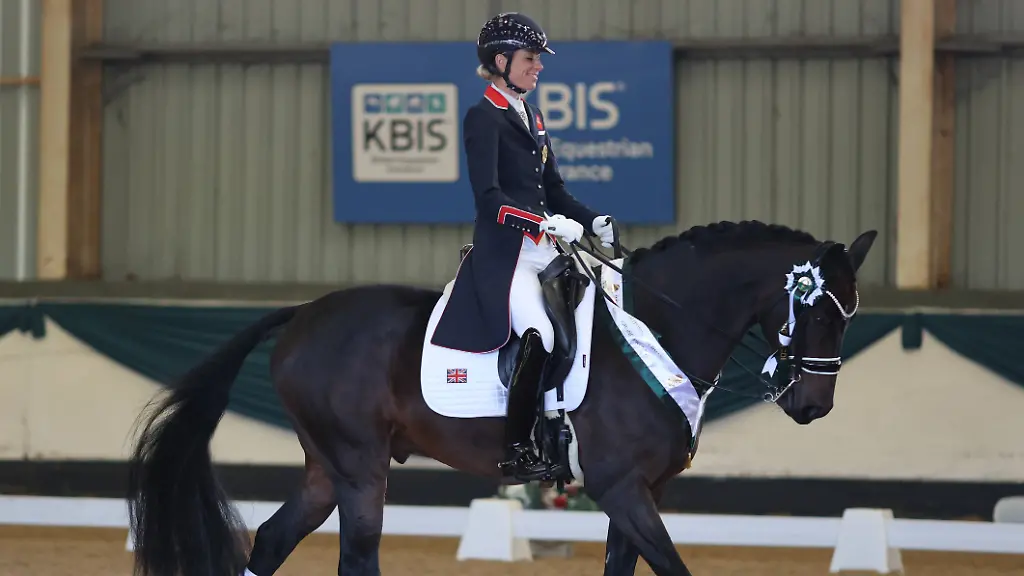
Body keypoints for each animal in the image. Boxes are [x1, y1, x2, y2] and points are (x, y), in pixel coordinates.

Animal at [126, 220, 876, 576]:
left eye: (850, 315)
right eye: (816, 310)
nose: (812, 405)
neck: (657, 326)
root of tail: (303, 314)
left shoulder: (642, 493)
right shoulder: (619, 487)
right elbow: (675, 570)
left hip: (325, 465)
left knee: (275, 538)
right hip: (359, 466)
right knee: (357, 557)